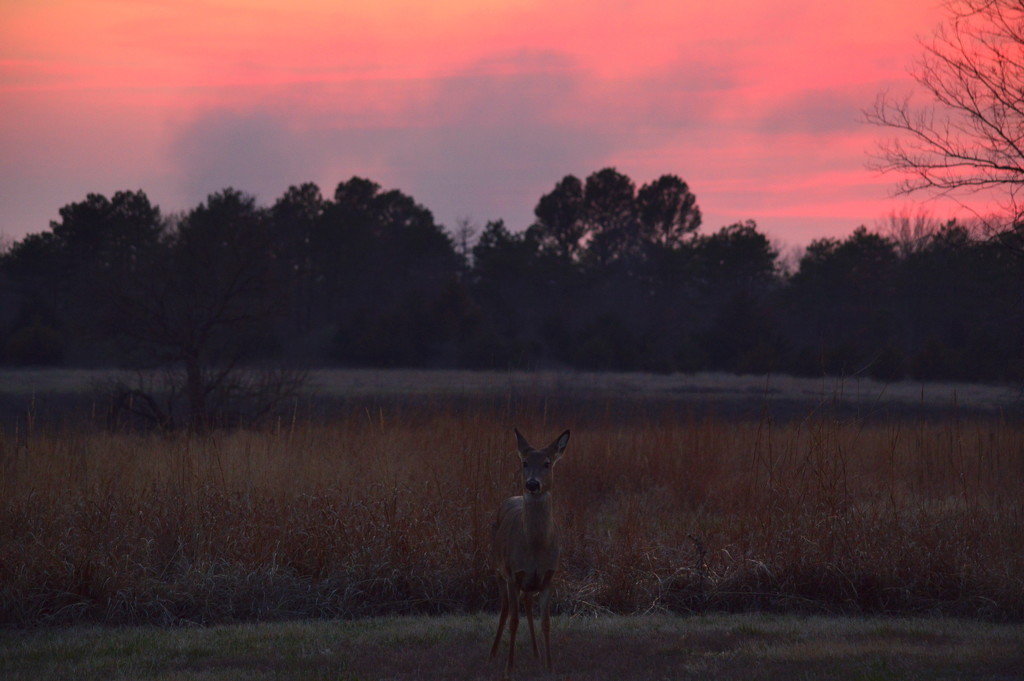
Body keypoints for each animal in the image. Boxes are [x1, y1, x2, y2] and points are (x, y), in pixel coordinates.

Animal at [487, 428, 569, 675]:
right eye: (524, 462)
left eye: (547, 463)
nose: (532, 484)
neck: (535, 548)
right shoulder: (514, 573)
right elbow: (514, 621)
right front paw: (509, 668)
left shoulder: (548, 576)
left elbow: (546, 622)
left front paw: (549, 666)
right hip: (498, 569)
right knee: (505, 609)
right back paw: (493, 654)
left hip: (528, 582)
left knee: (527, 603)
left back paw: (536, 654)